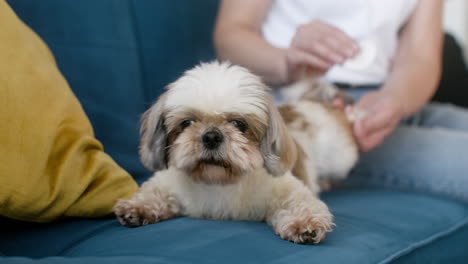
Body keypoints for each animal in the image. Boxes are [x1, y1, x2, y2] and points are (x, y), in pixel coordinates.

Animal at [115, 61, 360, 243]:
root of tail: (307, 101)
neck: (218, 182)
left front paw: (304, 224)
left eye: (239, 124)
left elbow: (300, 203)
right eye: (187, 123)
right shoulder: (168, 184)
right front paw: (138, 208)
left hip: (340, 159)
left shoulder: (286, 190)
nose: (211, 136)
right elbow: (152, 192)